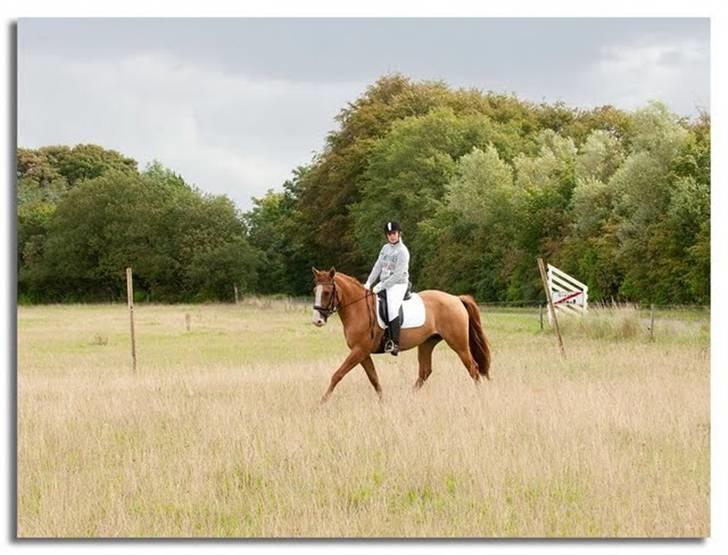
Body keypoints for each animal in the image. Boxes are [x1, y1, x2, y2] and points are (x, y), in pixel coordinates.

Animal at [310, 268, 492, 402]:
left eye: (327, 292)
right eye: (315, 291)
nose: (317, 321)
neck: (358, 308)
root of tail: (456, 298)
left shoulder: (359, 351)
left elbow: (337, 374)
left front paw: (322, 401)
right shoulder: (362, 353)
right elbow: (374, 378)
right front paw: (382, 401)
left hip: (458, 344)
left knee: (473, 368)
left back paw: (480, 397)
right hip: (427, 343)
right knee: (424, 371)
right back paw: (409, 397)